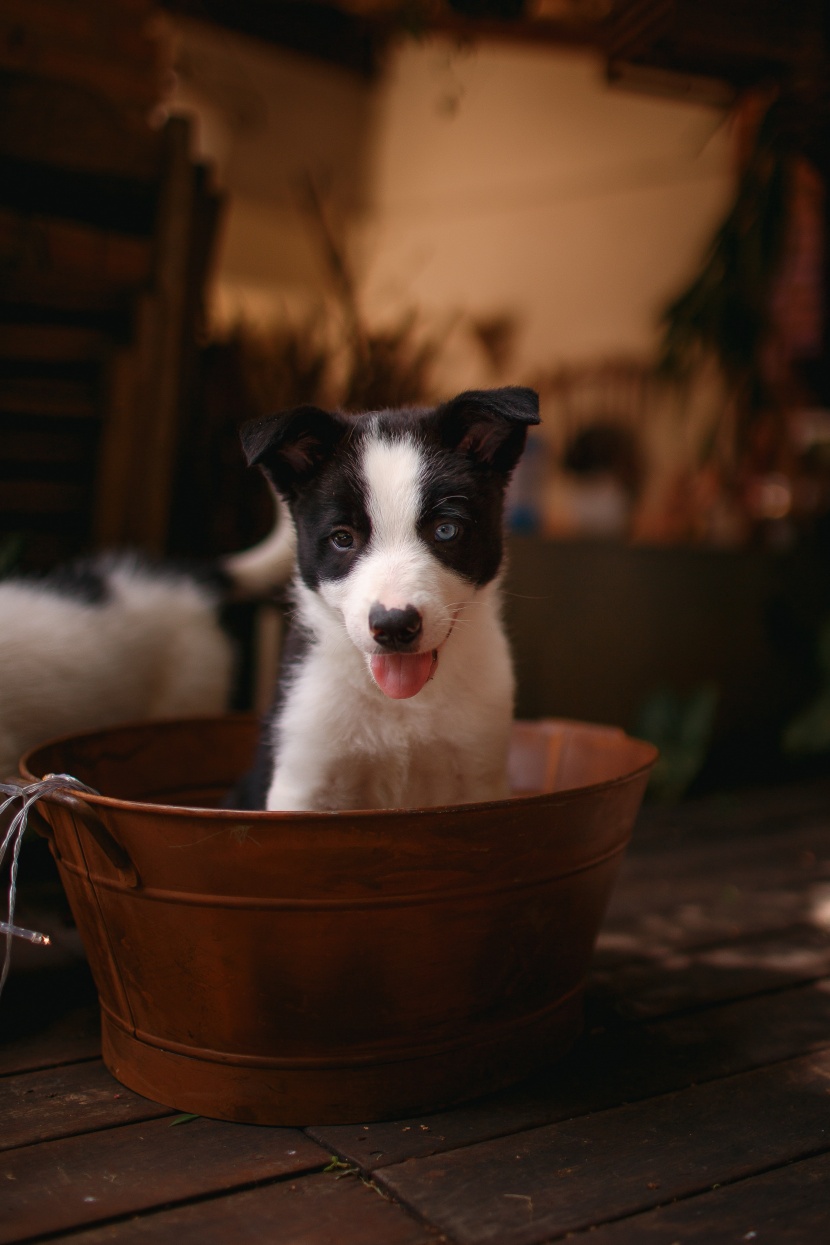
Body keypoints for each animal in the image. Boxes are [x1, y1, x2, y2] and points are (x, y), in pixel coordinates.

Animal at [236, 383, 542, 811]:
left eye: (446, 530)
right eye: (342, 538)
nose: (395, 626)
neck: (402, 704)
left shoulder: (480, 775)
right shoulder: (303, 782)